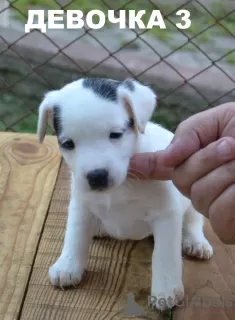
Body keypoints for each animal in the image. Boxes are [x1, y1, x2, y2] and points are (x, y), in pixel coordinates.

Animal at [36, 77, 213, 310]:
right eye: (67, 144)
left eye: (116, 135)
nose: (97, 176)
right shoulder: (80, 207)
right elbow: (75, 236)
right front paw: (68, 265)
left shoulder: (166, 215)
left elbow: (164, 255)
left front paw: (166, 288)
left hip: (191, 203)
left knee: (193, 222)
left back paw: (195, 242)